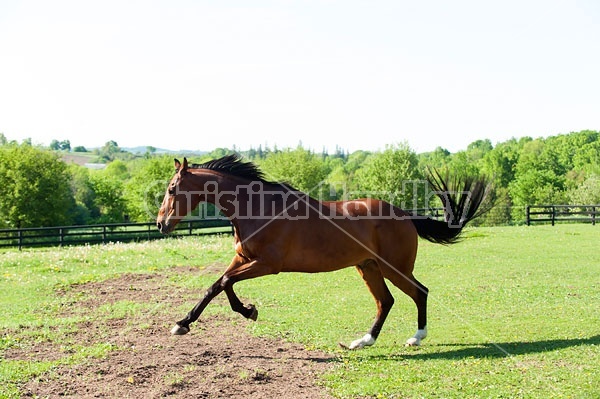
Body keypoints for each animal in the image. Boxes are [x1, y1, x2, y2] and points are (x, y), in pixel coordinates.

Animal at [156, 155, 488, 348]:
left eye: (172, 189)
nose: (161, 224)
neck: (257, 208)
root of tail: (405, 215)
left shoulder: (266, 264)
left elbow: (225, 283)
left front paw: (249, 311)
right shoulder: (243, 259)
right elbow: (215, 286)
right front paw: (183, 323)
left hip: (395, 267)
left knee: (420, 292)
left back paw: (416, 338)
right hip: (368, 267)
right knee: (386, 301)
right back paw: (362, 341)